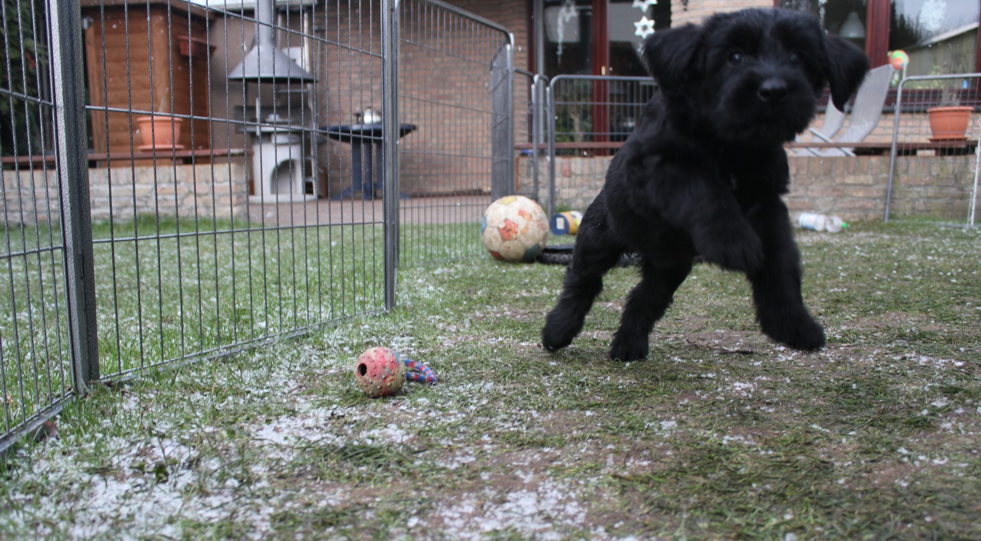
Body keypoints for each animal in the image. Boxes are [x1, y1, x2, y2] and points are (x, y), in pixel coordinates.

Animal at [540, 8, 868, 360]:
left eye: (798, 56)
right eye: (735, 56)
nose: (774, 90)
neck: (733, 145)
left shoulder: (767, 203)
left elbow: (780, 262)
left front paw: (792, 323)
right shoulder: (651, 169)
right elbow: (699, 184)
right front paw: (733, 242)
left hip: (669, 267)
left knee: (644, 299)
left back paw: (628, 346)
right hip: (598, 239)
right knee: (582, 281)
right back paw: (557, 330)